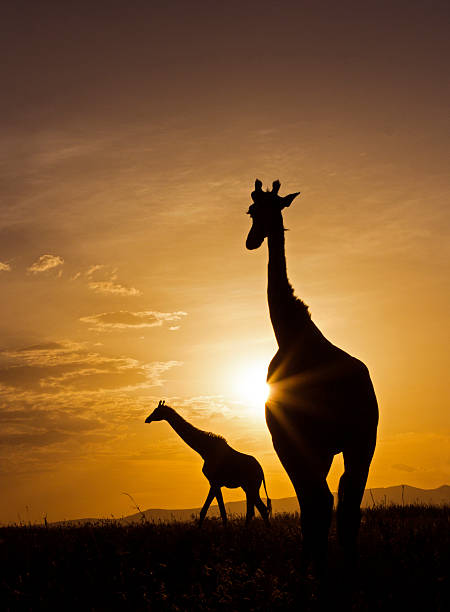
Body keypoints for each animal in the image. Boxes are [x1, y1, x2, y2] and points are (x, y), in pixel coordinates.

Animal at [244, 178, 378, 568]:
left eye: (274, 209)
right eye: (252, 210)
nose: (252, 240)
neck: (291, 333)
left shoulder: (288, 439)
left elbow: (310, 504)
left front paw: (309, 563)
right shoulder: (319, 447)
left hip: (333, 441)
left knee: (325, 500)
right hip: (358, 441)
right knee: (346, 502)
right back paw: (347, 561)